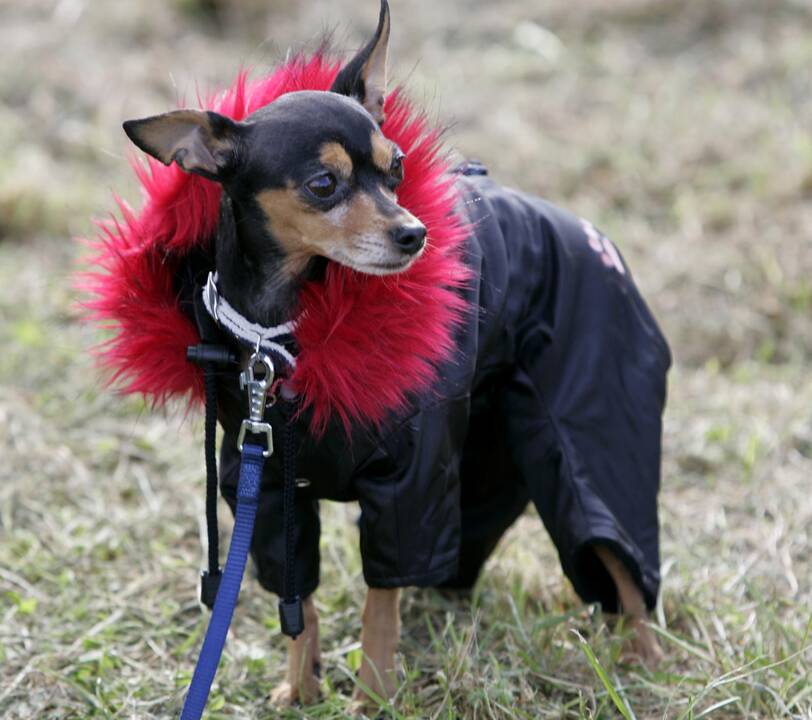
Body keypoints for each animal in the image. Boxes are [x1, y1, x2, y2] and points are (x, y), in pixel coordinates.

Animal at [122, 0, 668, 712]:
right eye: (323, 184)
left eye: (398, 168)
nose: (415, 233)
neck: (284, 333)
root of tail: (592, 234)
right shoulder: (263, 486)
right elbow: (301, 602)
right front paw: (300, 688)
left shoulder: (409, 488)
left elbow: (379, 606)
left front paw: (374, 697)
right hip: (484, 439)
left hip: (590, 428)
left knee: (620, 561)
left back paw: (643, 659)